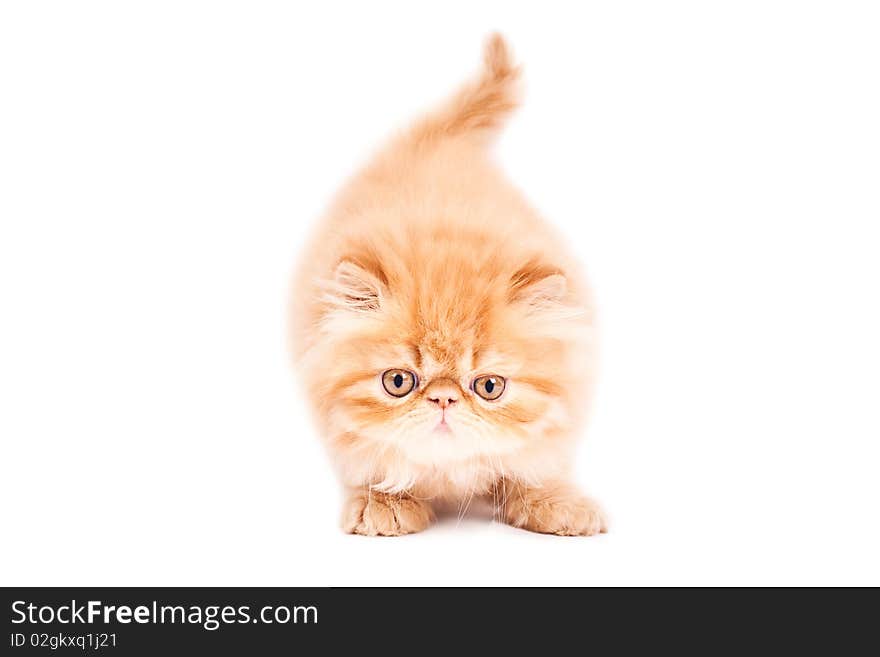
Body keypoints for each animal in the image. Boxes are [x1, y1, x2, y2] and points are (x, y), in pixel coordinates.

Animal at [294, 36, 604, 536]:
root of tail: (436, 141)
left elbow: (533, 466)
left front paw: (556, 502)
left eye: (490, 386)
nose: (443, 398)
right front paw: (384, 502)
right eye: (398, 381)